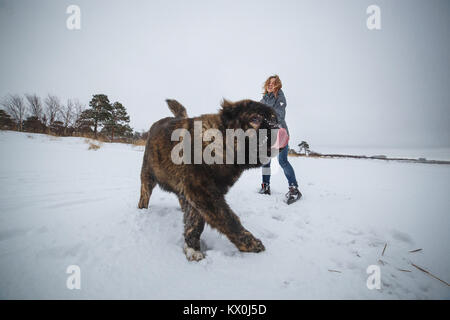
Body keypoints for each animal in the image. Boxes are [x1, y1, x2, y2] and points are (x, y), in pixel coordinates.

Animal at [137, 99, 288, 262]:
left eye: (274, 119)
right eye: (255, 119)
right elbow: (229, 220)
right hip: (147, 176)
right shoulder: (202, 192)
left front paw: (191, 245)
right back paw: (142, 210)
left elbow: (195, 220)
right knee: (144, 195)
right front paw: (251, 244)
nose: (280, 130)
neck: (222, 145)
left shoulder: (199, 193)